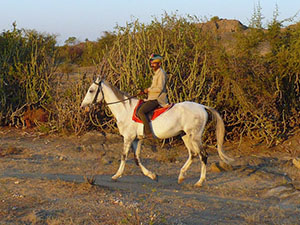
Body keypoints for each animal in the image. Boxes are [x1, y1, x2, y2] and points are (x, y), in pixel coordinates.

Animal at [81, 77, 233, 186]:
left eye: (91, 90)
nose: (83, 106)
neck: (125, 109)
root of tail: (202, 107)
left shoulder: (128, 137)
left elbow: (124, 155)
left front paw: (116, 175)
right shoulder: (137, 139)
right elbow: (137, 159)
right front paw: (153, 175)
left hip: (194, 136)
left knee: (203, 155)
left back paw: (199, 181)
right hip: (185, 136)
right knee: (193, 154)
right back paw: (181, 176)